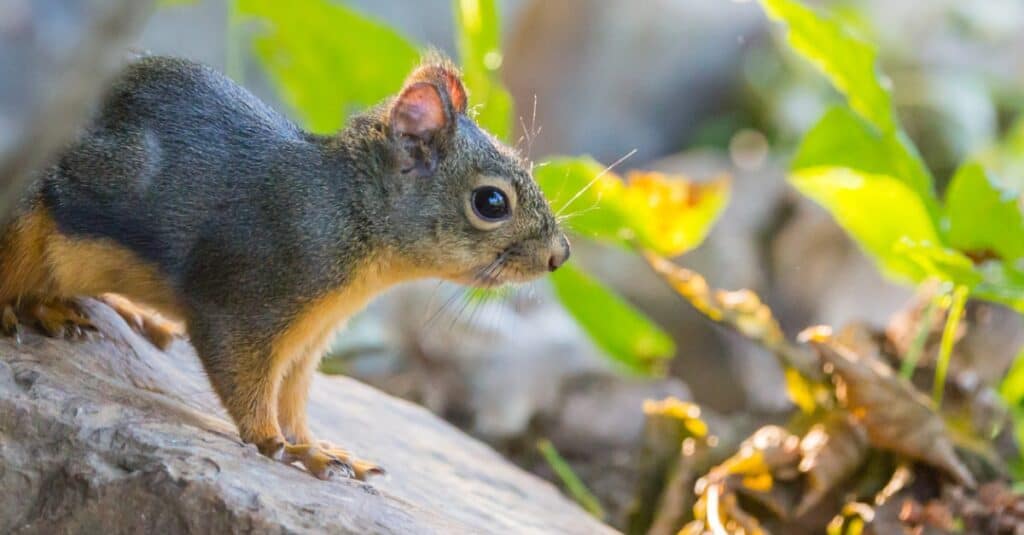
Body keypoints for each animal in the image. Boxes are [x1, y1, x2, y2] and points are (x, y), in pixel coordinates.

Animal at [0, 54, 570, 480]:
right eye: (491, 202)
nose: (559, 255)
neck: (349, 214)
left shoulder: (308, 342)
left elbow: (292, 397)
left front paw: (320, 446)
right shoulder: (245, 300)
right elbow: (247, 385)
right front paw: (282, 446)